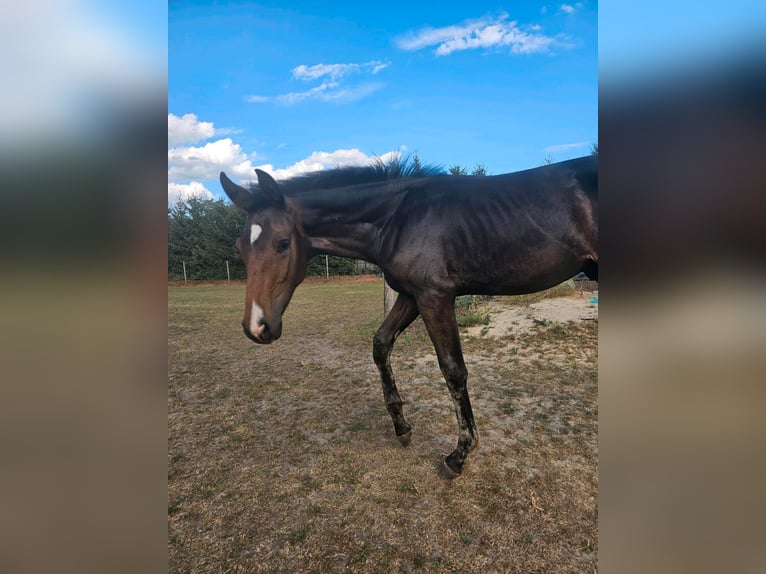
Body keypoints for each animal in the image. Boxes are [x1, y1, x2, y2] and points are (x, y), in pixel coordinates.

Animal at [219, 155, 596, 480]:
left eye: (283, 243)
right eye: (240, 247)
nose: (257, 327)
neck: (397, 216)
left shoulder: (435, 297)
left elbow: (453, 370)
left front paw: (459, 455)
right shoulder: (410, 295)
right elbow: (381, 344)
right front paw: (402, 427)